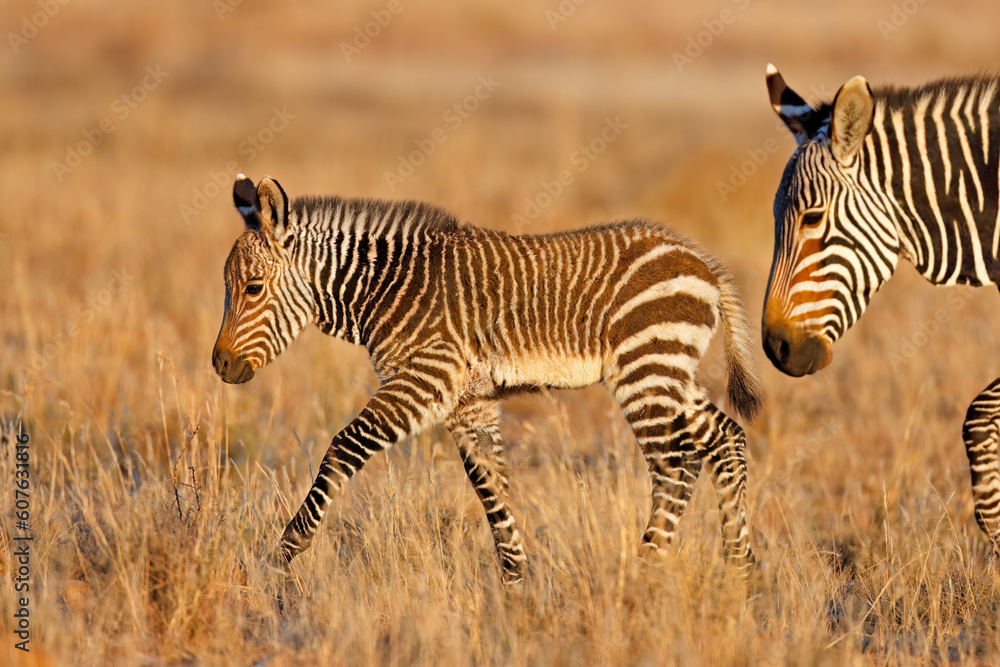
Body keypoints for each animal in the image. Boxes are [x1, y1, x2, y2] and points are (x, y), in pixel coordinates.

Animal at [212, 174, 763, 583]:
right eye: (230, 288)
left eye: (253, 289)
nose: (220, 365)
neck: (389, 288)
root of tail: (702, 262)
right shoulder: (468, 400)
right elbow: (488, 484)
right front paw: (517, 580)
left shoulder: (424, 379)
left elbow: (344, 446)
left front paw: (285, 552)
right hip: (670, 373)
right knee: (725, 439)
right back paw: (740, 569)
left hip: (646, 369)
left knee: (675, 462)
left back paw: (648, 570)